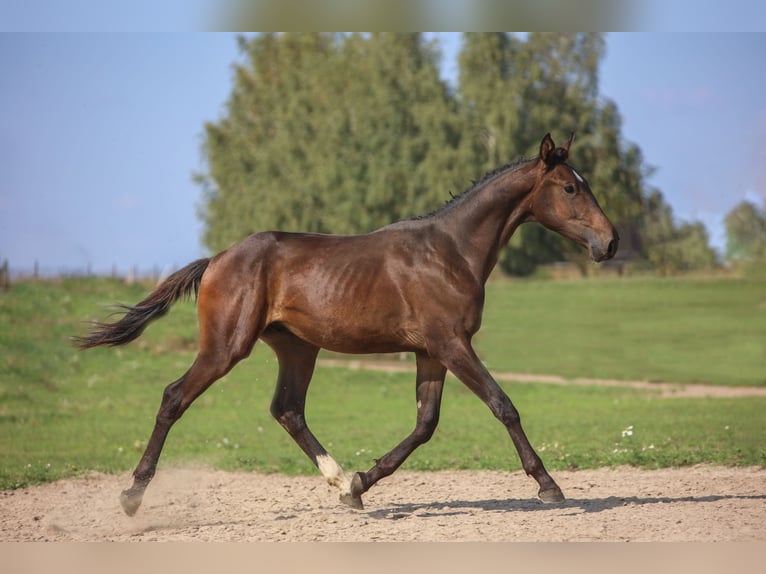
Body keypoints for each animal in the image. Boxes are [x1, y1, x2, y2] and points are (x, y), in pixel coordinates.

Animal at [76, 134, 616, 516]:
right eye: (570, 187)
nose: (609, 243)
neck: (451, 250)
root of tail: (216, 260)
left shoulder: (431, 351)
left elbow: (425, 424)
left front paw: (361, 482)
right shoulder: (452, 343)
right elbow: (503, 406)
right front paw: (549, 486)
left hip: (297, 349)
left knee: (287, 410)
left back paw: (341, 483)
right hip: (226, 347)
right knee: (175, 397)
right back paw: (132, 497)